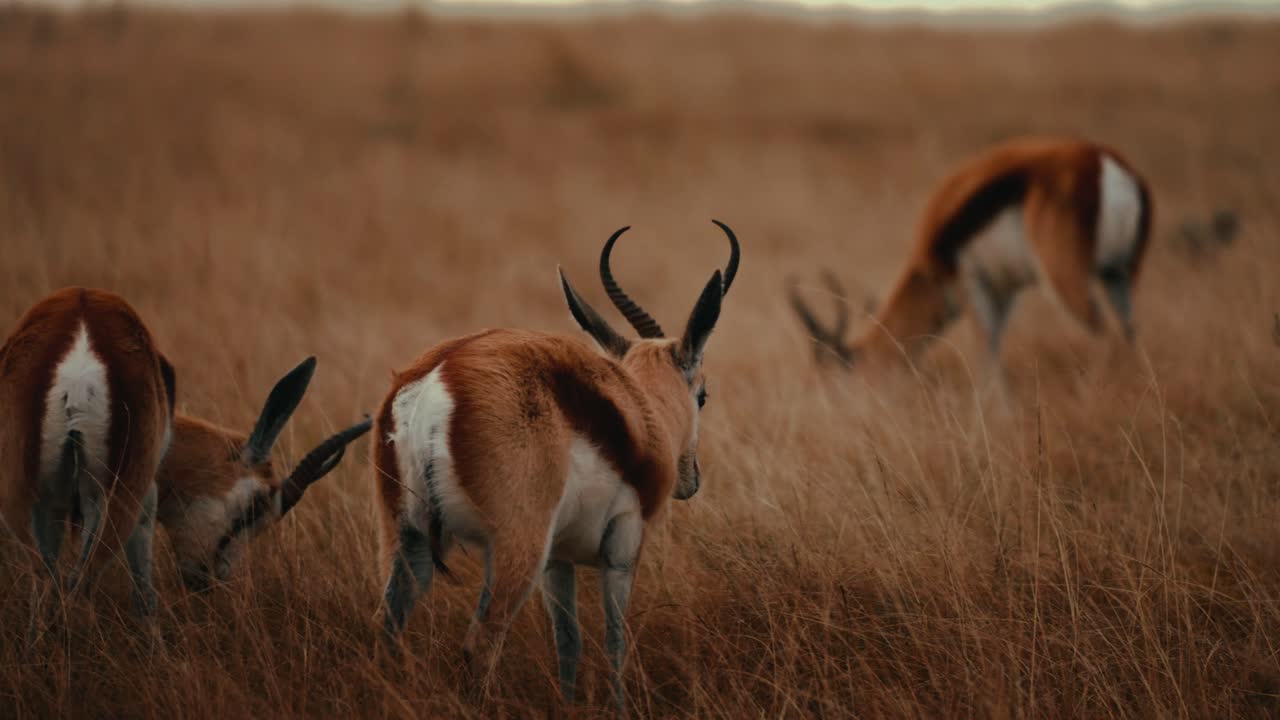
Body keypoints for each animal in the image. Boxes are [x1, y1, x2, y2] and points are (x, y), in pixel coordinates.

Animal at [373, 221, 740, 713]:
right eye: (703, 395)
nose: (691, 479)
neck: (640, 416)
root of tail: (438, 378)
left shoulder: (558, 561)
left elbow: (569, 643)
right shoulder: (623, 545)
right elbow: (614, 640)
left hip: (407, 539)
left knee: (386, 631)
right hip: (516, 549)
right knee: (481, 642)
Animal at [790, 137, 1153, 382]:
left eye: (839, 376)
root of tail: (1109, 167)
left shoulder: (966, 280)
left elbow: (985, 355)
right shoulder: (1005, 290)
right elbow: (994, 347)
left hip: (1066, 278)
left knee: (1104, 333)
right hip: (1120, 274)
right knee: (1129, 332)